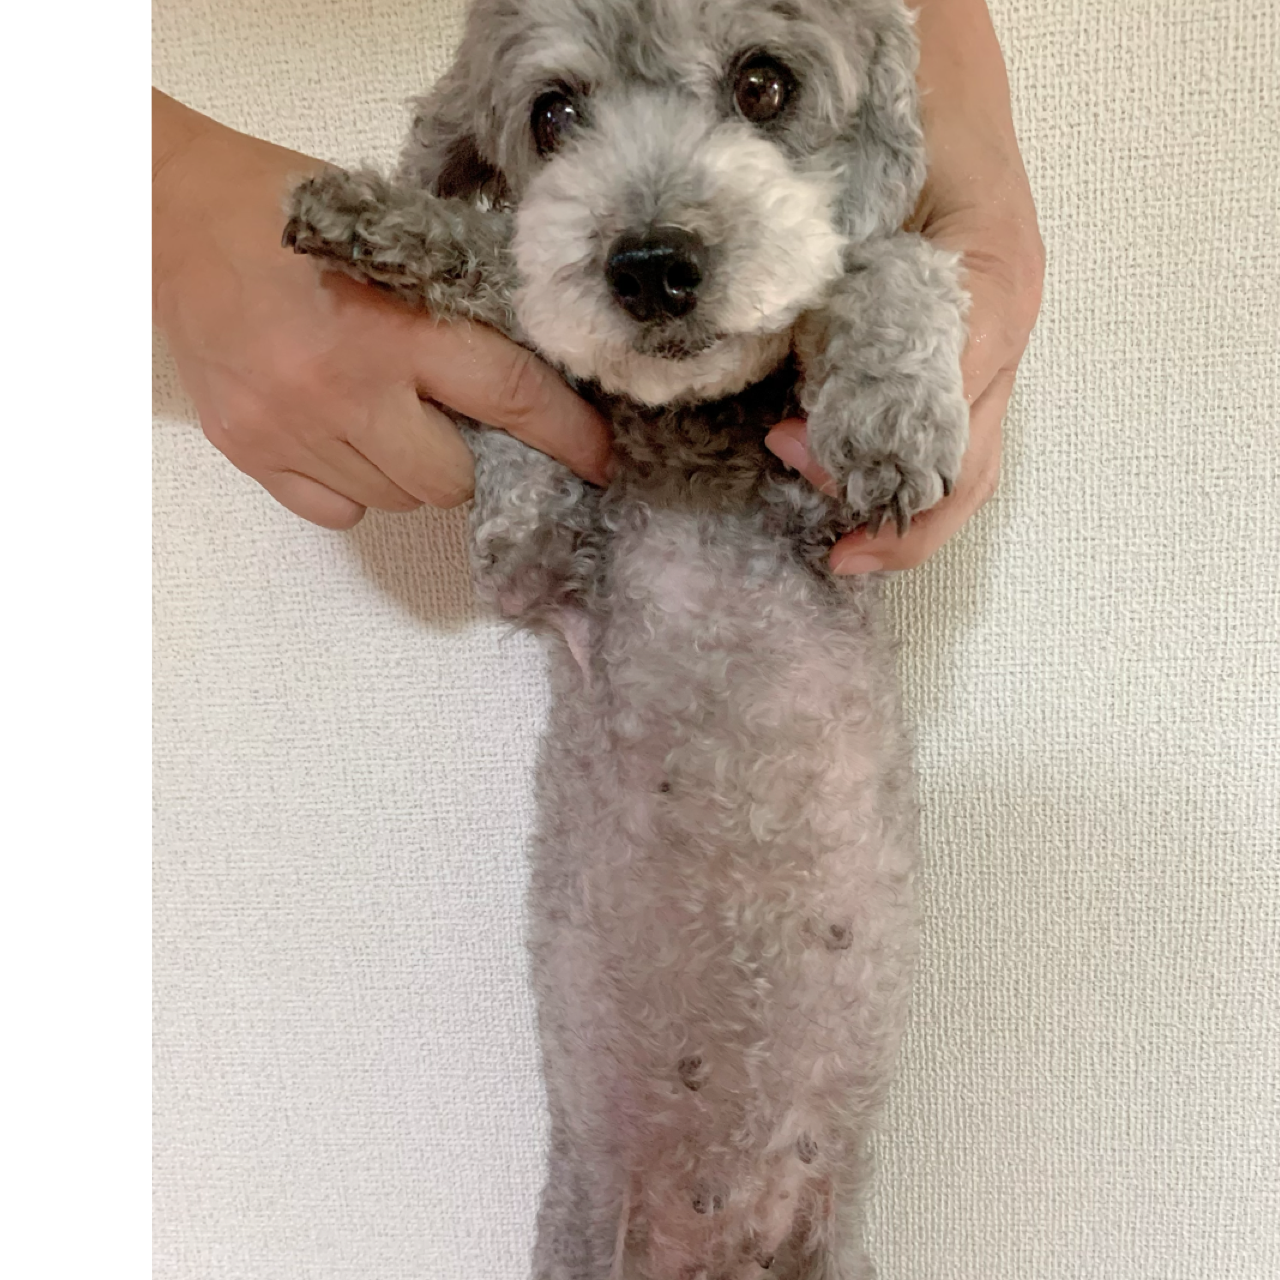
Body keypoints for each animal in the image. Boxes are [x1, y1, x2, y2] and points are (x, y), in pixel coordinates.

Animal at [284, 1, 968, 1274]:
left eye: (763, 84)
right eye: (552, 116)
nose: (651, 267)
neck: (686, 436)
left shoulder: (828, 526)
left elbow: (890, 263)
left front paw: (889, 410)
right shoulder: (534, 564)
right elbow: (517, 328)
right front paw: (381, 221)